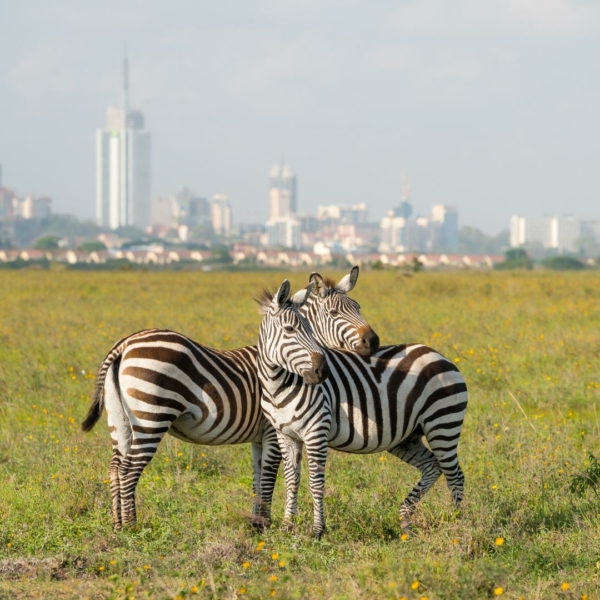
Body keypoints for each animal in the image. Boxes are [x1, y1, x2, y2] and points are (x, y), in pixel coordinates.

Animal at [81, 270, 376, 532]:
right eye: (334, 314)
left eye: (358, 307)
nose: (373, 341)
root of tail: (124, 344)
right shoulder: (272, 431)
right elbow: (269, 477)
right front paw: (264, 525)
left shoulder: (259, 436)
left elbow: (258, 478)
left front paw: (256, 523)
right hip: (151, 417)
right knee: (129, 470)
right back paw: (132, 527)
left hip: (119, 419)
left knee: (115, 468)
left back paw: (117, 525)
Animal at [255, 282, 466, 540]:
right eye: (289, 329)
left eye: (310, 330)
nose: (322, 371)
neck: (278, 385)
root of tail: (440, 355)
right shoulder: (285, 435)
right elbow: (291, 480)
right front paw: (287, 527)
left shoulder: (316, 433)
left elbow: (316, 482)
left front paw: (317, 531)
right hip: (407, 437)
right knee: (433, 467)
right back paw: (406, 520)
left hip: (443, 424)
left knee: (454, 475)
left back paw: (458, 524)